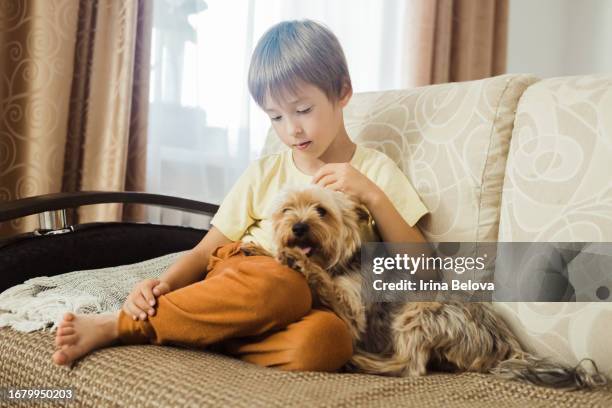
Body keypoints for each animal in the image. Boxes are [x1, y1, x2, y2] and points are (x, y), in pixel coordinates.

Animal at [240, 185, 608, 388]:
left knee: (411, 366)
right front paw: (261, 249)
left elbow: (326, 284)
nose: (299, 227)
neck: (340, 261)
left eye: (322, 211)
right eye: (287, 210)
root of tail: (507, 345)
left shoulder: (352, 310)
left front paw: (299, 262)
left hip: (419, 313)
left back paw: (363, 361)